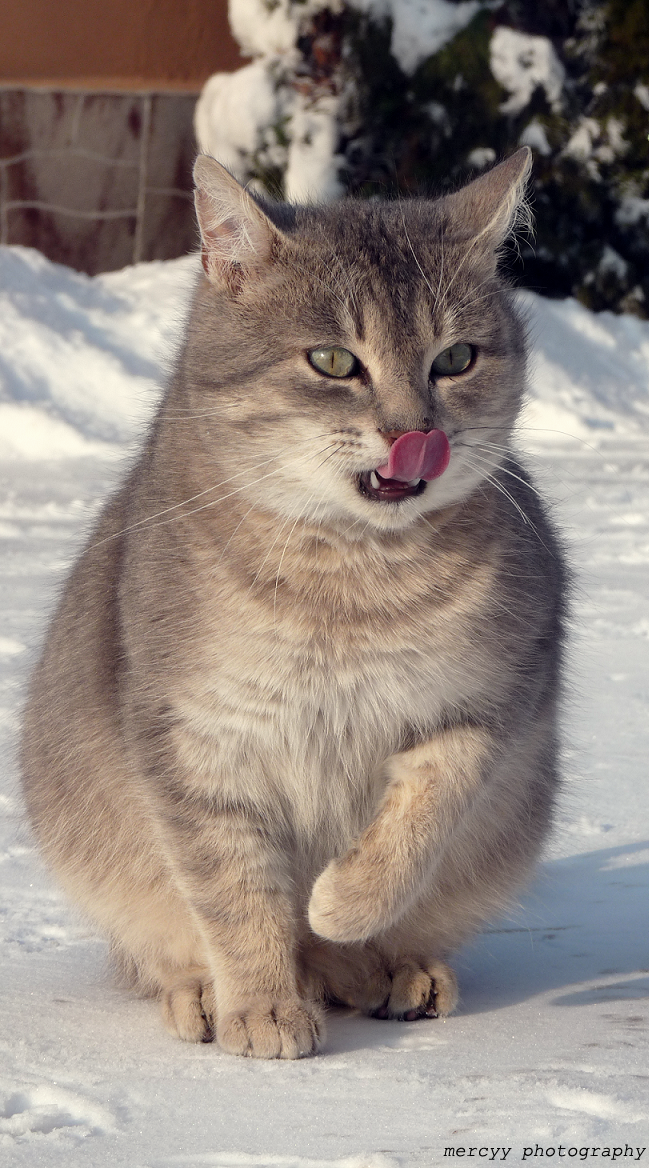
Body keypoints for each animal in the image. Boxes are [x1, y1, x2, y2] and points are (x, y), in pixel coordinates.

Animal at [22, 146, 564, 1060]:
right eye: (334, 362)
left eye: (455, 358)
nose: (414, 434)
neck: (349, 580)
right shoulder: (196, 743)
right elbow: (234, 894)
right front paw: (263, 1006)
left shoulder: (493, 703)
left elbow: (419, 819)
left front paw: (344, 905)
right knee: (164, 946)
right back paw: (208, 993)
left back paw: (389, 971)